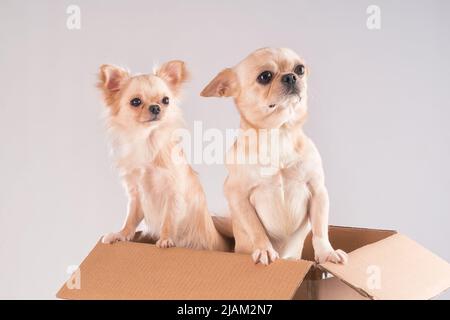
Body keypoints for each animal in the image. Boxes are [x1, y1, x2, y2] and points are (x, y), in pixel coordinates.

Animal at [99, 59, 230, 250]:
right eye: (135, 101)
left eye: (166, 100)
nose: (155, 107)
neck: (148, 141)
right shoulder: (136, 195)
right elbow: (130, 220)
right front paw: (121, 235)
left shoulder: (174, 193)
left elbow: (169, 219)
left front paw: (166, 239)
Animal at [201, 47, 348, 262]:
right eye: (265, 76)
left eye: (300, 69)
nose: (290, 76)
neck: (279, 133)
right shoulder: (238, 197)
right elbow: (255, 228)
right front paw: (264, 249)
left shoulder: (318, 191)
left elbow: (320, 229)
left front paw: (327, 253)